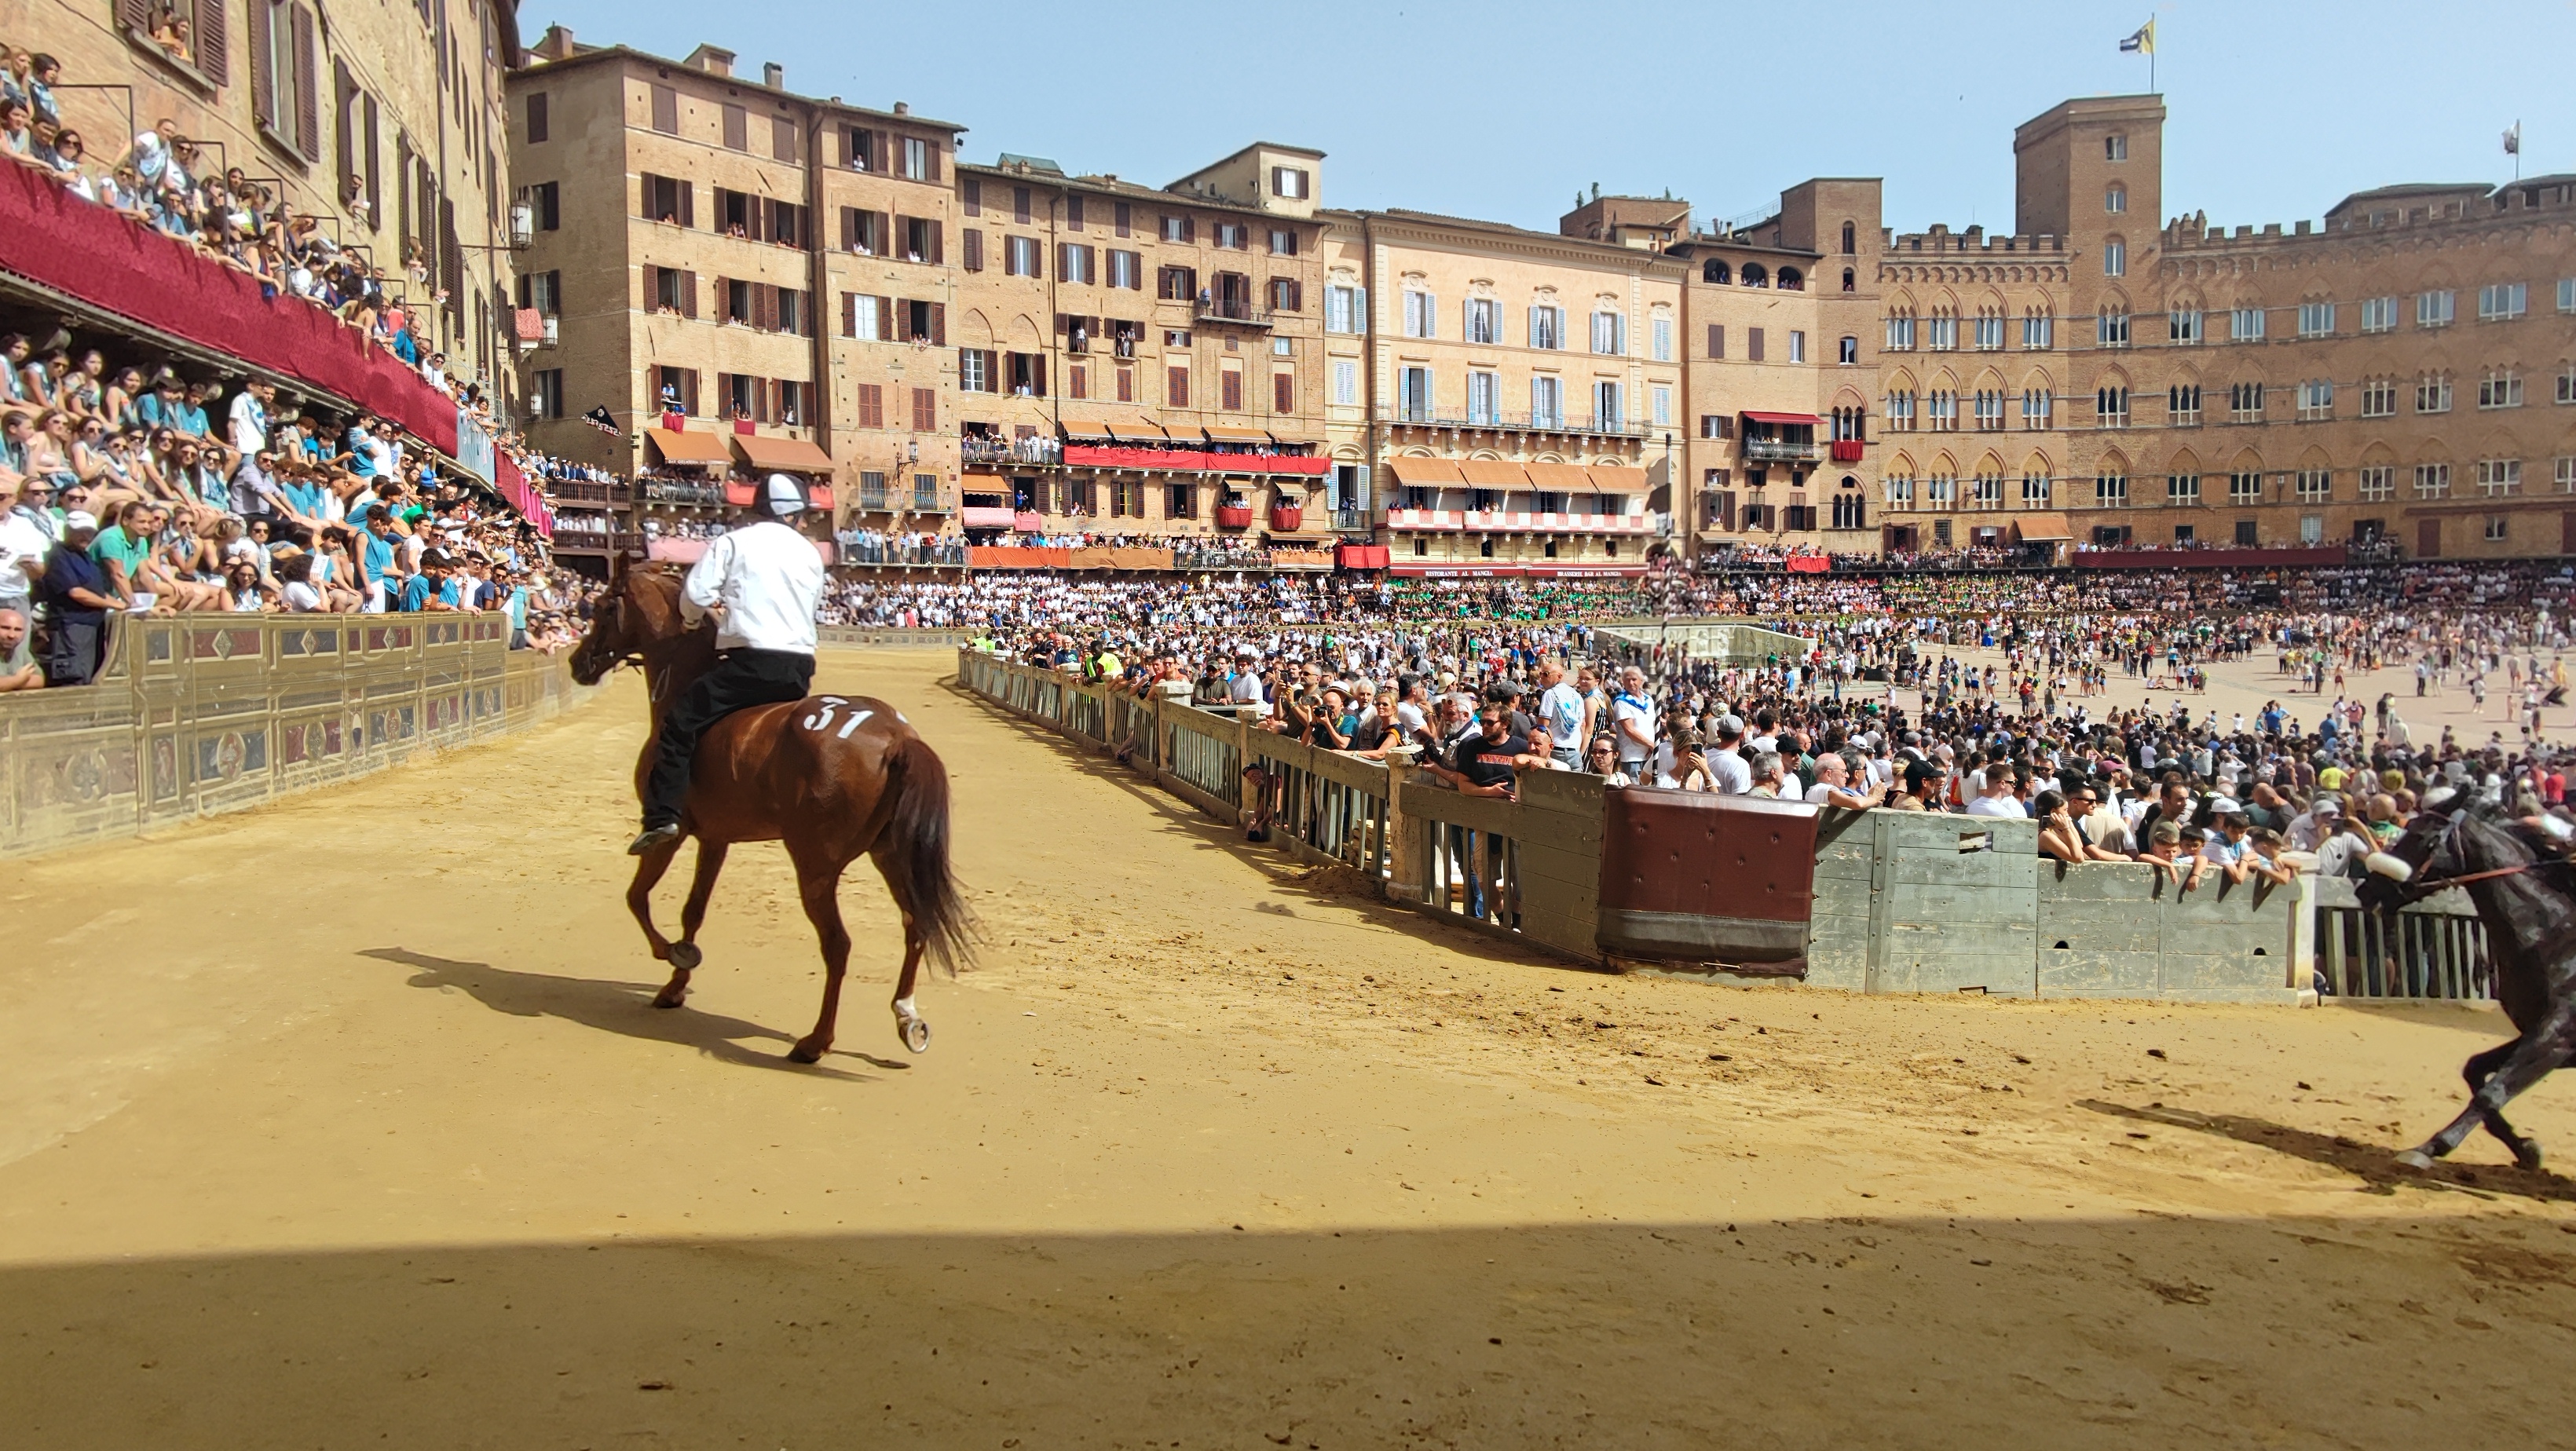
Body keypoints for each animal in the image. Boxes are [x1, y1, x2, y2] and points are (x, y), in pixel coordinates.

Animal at [569, 554, 968, 1056]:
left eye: (603, 606)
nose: (577, 662)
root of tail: (895, 737)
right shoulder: (715, 839)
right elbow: (693, 910)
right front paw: (676, 984)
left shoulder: (670, 836)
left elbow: (637, 897)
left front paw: (671, 954)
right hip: (891, 855)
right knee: (915, 924)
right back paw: (906, 1016)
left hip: (816, 868)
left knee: (838, 946)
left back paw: (816, 1041)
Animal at [2359, 793, 2565, 1170]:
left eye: (2422, 837)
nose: (2366, 890)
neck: (2551, 935)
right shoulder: (2536, 1031)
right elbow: (2475, 1072)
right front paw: (2525, 1148)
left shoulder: (2557, 1035)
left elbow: (2491, 1092)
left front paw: (2430, 1147)